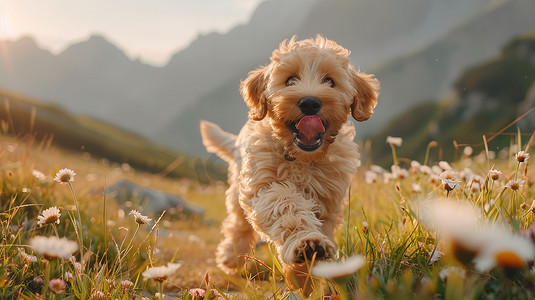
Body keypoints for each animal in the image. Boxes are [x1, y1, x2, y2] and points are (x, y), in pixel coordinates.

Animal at [201, 35, 382, 288]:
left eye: (330, 81)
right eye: (290, 80)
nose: (310, 103)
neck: (302, 158)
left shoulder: (328, 202)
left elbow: (320, 225)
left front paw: (305, 274)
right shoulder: (264, 185)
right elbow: (286, 206)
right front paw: (306, 244)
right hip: (238, 188)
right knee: (238, 225)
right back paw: (232, 256)